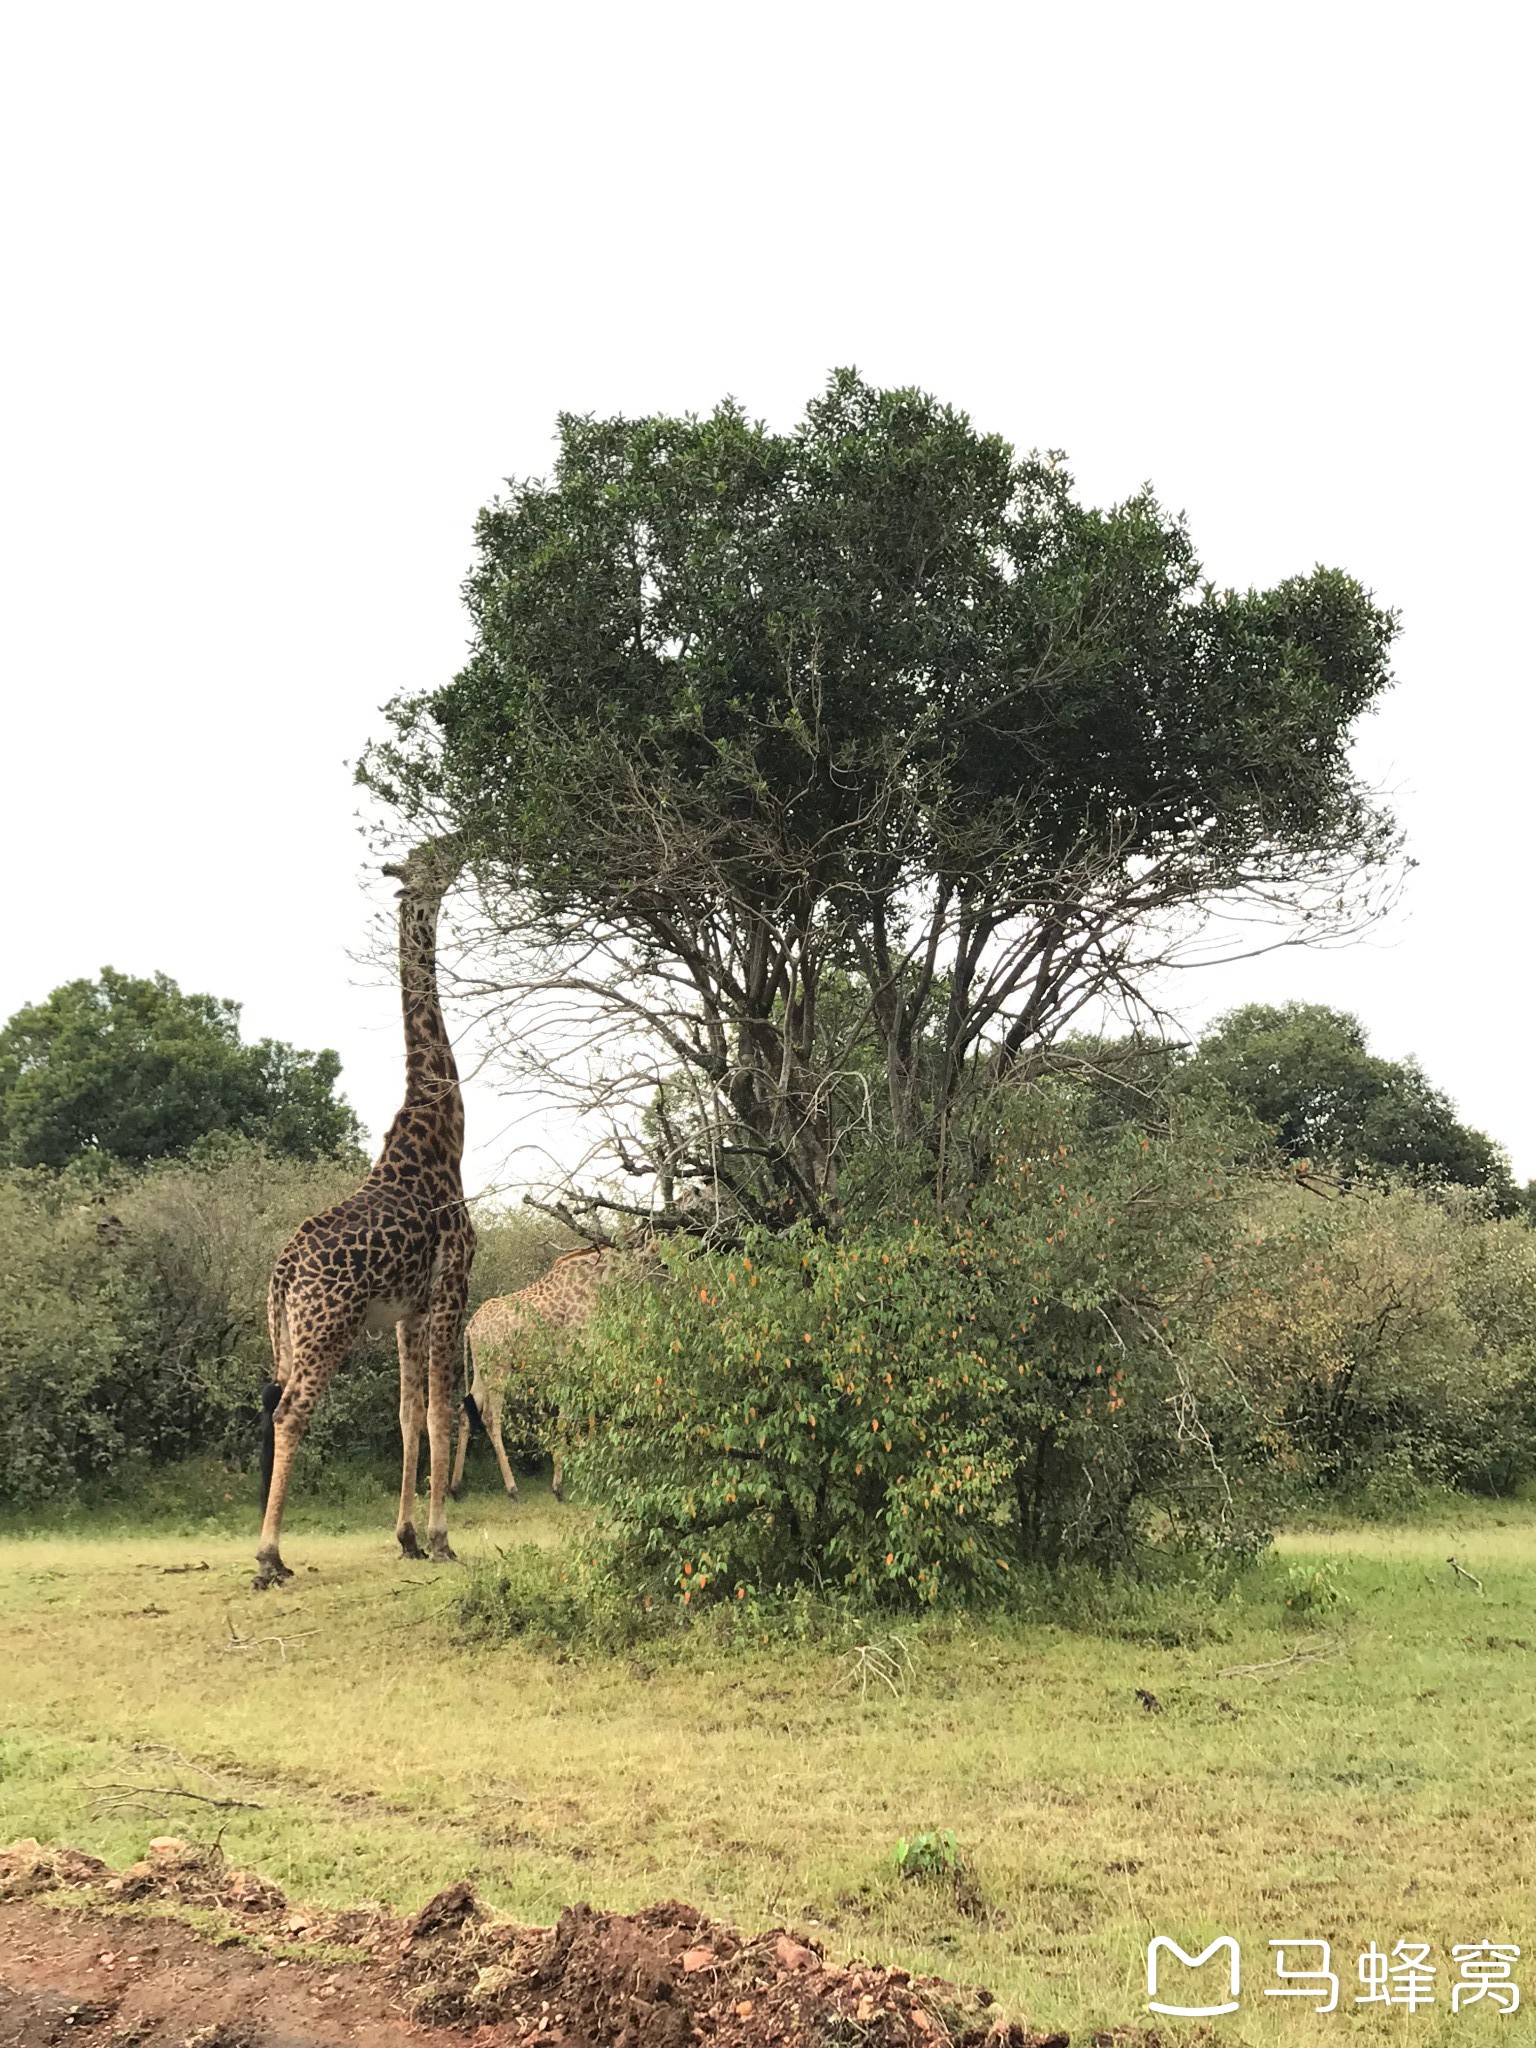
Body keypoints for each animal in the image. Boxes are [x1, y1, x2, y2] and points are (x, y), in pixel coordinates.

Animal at [256, 839, 479, 1589]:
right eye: (433, 859)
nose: (466, 842)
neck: (440, 1136)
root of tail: (283, 1273)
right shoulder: (451, 1289)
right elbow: (442, 1414)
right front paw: (441, 1539)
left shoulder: (409, 1310)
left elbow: (409, 1418)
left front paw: (406, 1537)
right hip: (329, 1325)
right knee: (290, 1412)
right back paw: (268, 1556)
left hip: (296, 1331)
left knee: (277, 1404)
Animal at [448, 1236, 659, 1499]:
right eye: (655, 1251)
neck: (598, 1280)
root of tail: (471, 1327)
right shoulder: (576, 1357)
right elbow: (570, 1416)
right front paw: (562, 1485)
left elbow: (583, 1413)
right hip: (499, 1367)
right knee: (489, 1416)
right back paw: (512, 1489)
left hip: (481, 1368)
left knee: (464, 1410)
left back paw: (455, 1488)